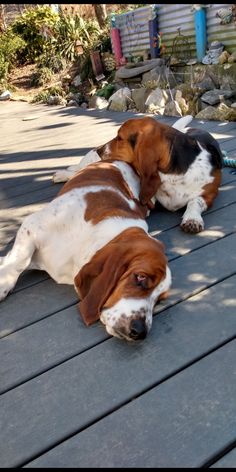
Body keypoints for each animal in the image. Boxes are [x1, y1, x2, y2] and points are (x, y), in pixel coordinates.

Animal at [0, 160, 171, 342]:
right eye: (140, 277)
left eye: (159, 300)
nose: (140, 331)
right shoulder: (32, 224)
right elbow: (19, 260)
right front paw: (3, 283)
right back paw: (61, 174)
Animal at [54, 116, 223, 234]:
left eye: (120, 138)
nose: (99, 150)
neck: (172, 173)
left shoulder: (209, 194)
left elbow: (195, 201)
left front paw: (192, 219)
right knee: (79, 168)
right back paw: (62, 174)